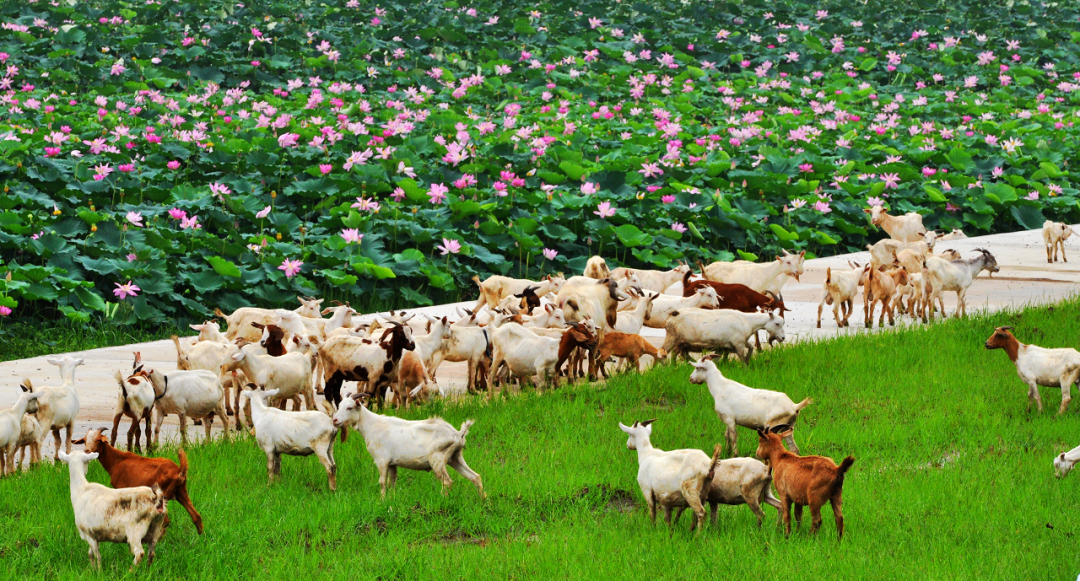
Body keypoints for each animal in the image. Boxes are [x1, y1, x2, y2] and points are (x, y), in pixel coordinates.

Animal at [75, 425, 204, 533]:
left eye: (98, 440)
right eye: (85, 440)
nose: (86, 451)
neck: (116, 461)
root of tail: (179, 470)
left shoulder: (122, 489)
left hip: (165, 493)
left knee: (165, 520)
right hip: (181, 491)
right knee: (196, 516)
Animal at [328, 393, 481, 496]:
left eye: (350, 407)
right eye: (339, 406)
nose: (335, 420)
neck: (371, 425)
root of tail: (458, 434)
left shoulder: (382, 460)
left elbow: (382, 482)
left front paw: (381, 501)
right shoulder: (392, 463)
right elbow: (392, 482)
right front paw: (392, 499)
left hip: (437, 459)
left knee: (447, 482)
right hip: (455, 457)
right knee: (475, 477)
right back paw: (483, 501)